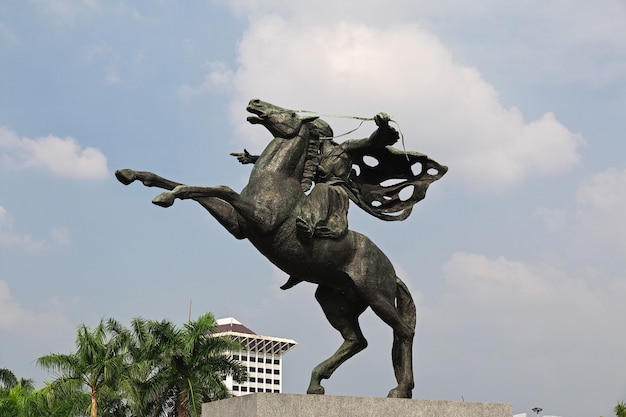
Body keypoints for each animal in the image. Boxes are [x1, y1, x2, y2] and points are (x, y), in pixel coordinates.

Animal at [117, 97, 420, 396]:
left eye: (290, 113)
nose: (255, 102)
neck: (277, 180)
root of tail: (392, 272)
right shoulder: (238, 226)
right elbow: (193, 187)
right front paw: (132, 175)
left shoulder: (261, 220)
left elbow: (221, 188)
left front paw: (166, 197)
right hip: (334, 298)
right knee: (356, 340)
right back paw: (316, 382)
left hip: (375, 295)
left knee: (403, 331)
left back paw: (400, 389)